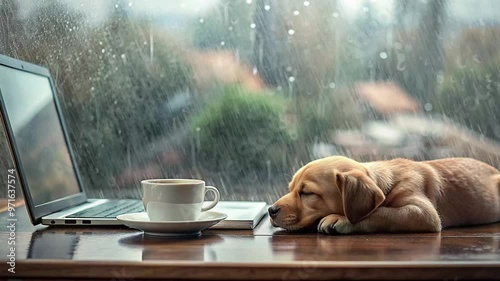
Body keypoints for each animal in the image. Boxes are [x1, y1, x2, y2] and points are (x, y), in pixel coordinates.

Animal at [270, 156, 500, 233]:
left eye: (307, 193)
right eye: (291, 188)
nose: (271, 210)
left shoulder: (423, 213)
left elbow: (381, 213)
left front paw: (340, 219)